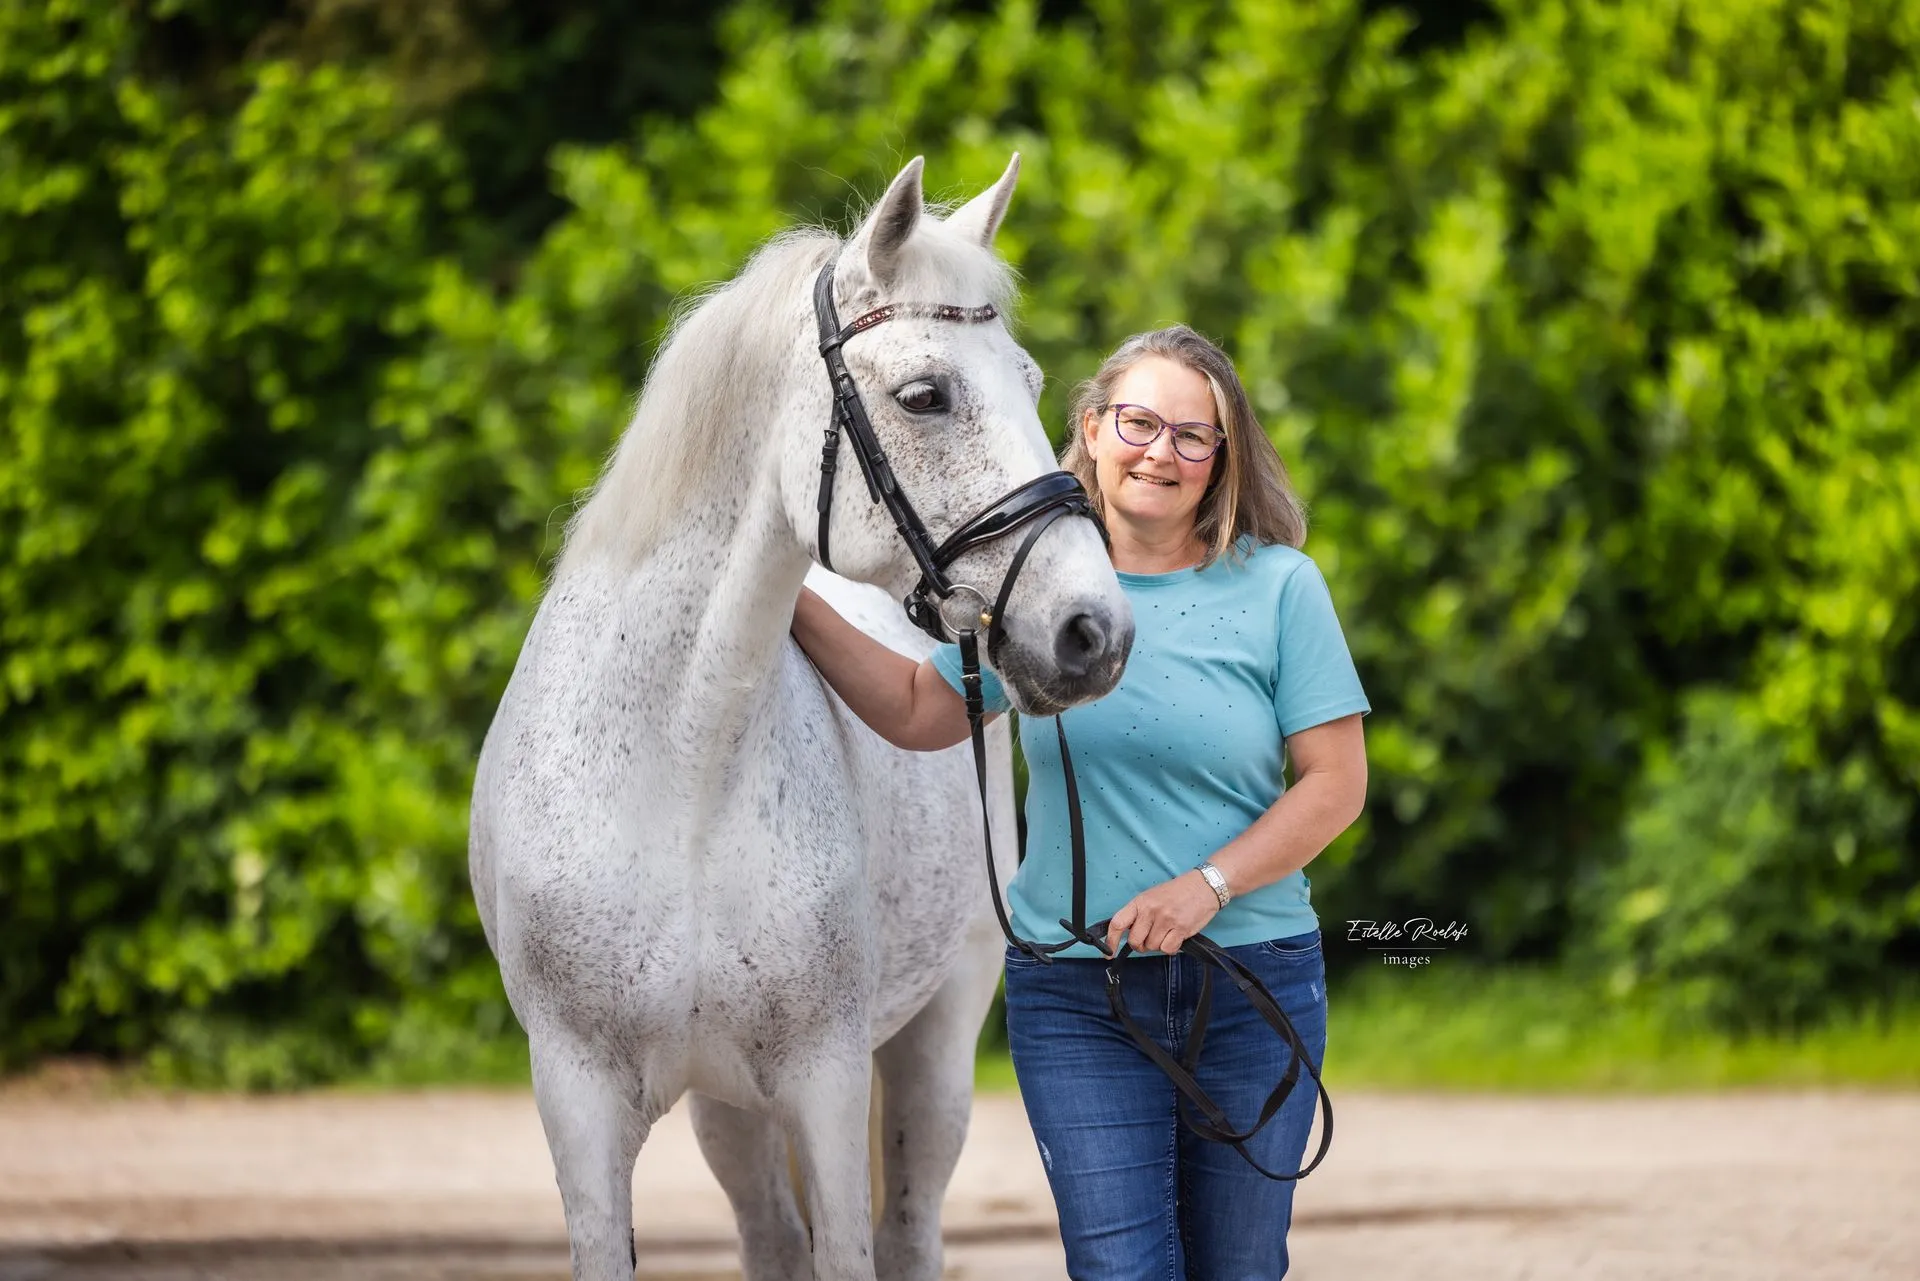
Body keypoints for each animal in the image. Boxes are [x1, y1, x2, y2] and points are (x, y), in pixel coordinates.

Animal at [468, 155, 1134, 1281]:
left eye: (1034, 382)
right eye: (925, 395)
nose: (1094, 631)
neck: (678, 768)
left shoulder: (826, 1084)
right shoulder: (580, 1103)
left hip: (933, 1044)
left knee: (908, 1229)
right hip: (727, 1111)